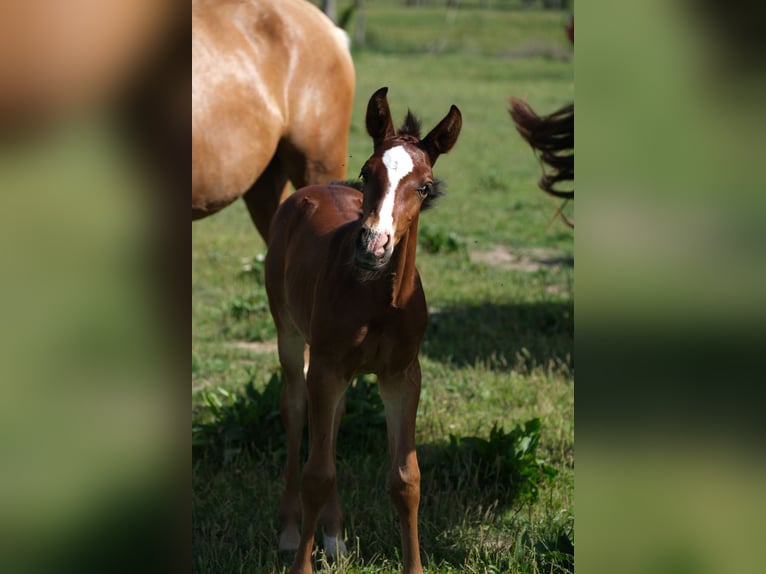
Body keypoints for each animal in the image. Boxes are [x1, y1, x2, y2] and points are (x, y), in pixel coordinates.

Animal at [265, 87, 461, 574]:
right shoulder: (326, 367)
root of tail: (310, 189)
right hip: (290, 335)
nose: (374, 245)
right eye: (366, 172)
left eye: (424, 186)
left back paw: (335, 537)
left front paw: (413, 567)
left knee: (333, 422)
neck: (378, 300)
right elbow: (317, 473)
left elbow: (406, 479)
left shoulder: (402, 375)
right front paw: (302, 564)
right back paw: (291, 530)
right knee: (295, 410)